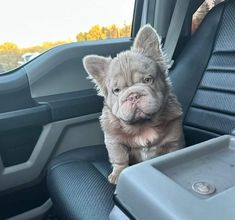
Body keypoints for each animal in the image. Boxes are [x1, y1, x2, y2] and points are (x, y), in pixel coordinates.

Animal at [83, 24, 185, 185]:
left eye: (148, 80)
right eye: (116, 91)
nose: (133, 95)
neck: (142, 124)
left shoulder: (174, 141)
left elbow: (172, 152)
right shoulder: (114, 142)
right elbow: (120, 158)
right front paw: (118, 174)